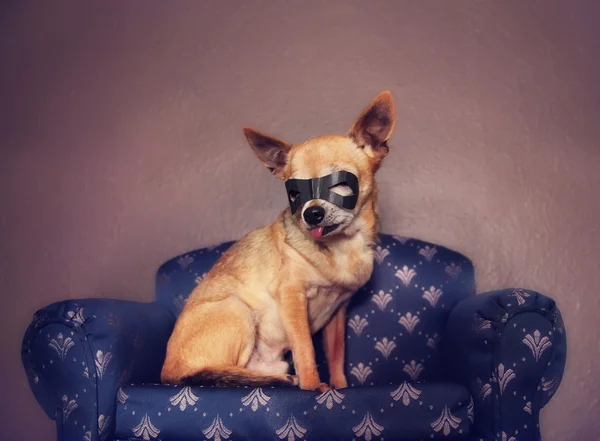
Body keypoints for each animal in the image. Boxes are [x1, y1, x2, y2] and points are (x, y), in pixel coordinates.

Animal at [161, 91, 394, 390]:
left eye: (340, 184)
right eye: (294, 194)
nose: (311, 213)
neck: (342, 246)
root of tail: (166, 375)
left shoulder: (338, 313)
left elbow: (336, 354)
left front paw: (340, 387)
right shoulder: (291, 296)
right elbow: (305, 347)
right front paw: (313, 386)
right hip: (237, 309)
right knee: (206, 374)